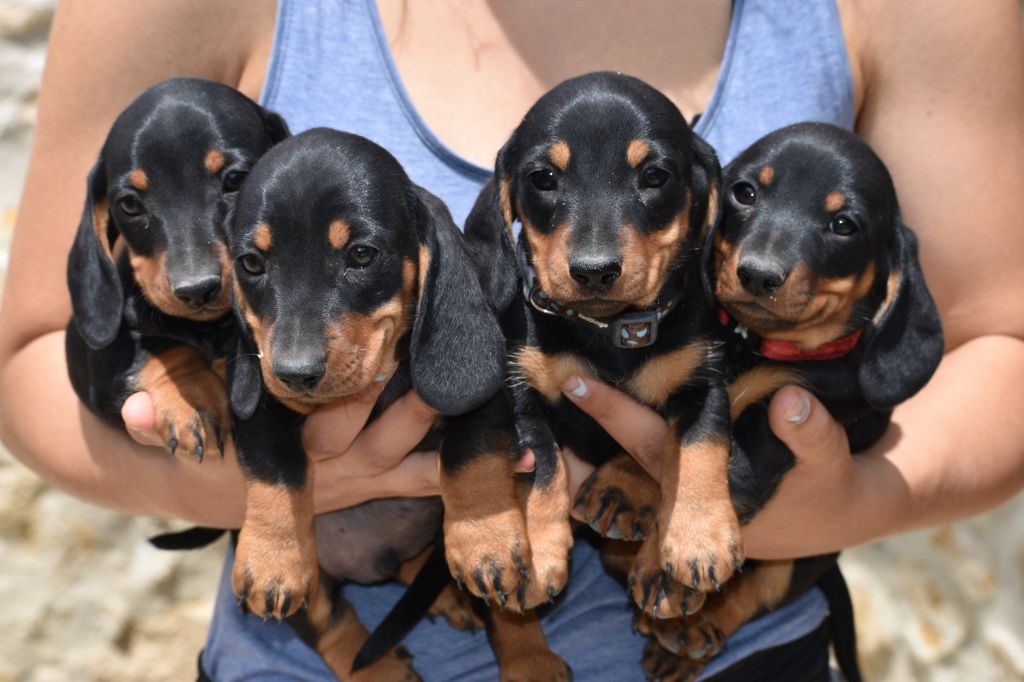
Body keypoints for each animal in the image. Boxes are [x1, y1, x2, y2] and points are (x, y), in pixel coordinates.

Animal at [65, 76, 288, 458]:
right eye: (129, 204)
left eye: (235, 180)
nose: (196, 289)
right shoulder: (103, 358)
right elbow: (161, 347)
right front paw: (196, 396)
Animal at [464, 71, 729, 618]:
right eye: (544, 178)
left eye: (655, 176)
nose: (594, 270)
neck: (607, 329)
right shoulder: (521, 391)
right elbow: (544, 467)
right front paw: (540, 552)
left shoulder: (704, 380)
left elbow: (697, 447)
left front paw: (698, 537)